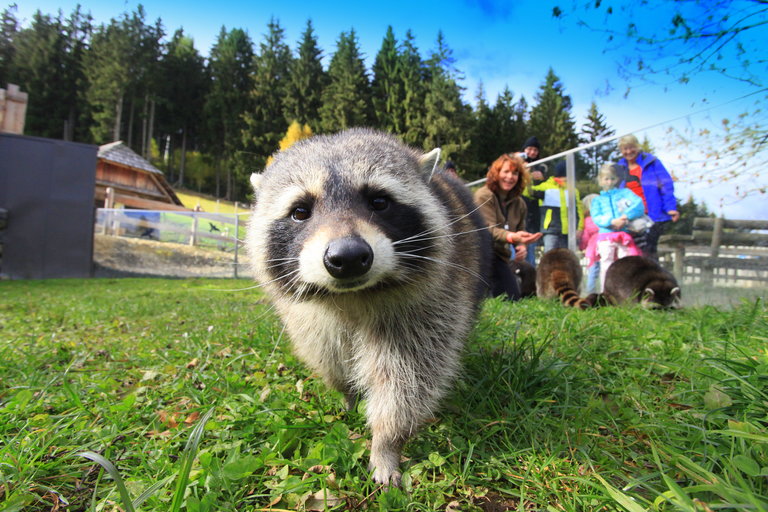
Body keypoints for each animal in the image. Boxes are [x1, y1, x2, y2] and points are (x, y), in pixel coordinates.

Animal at [248, 128, 492, 488]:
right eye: (300, 211)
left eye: (379, 201)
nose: (348, 257)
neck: (353, 296)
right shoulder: (308, 317)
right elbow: (327, 353)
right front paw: (347, 393)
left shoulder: (430, 306)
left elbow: (409, 378)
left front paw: (386, 441)